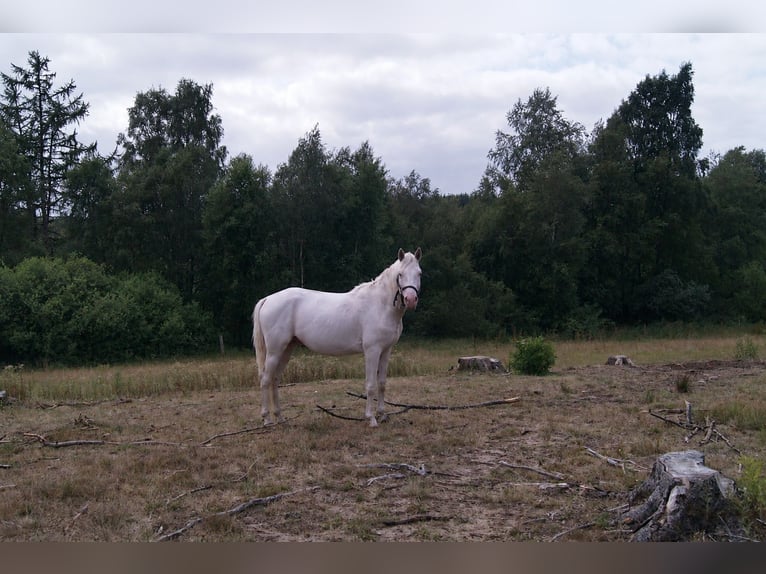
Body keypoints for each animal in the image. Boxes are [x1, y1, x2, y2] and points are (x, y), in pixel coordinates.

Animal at [252, 247, 422, 427]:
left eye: (419, 273)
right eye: (400, 274)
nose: (411, 300)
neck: (380, 305)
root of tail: (268, 299)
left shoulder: (386, 350)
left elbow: (382, 383)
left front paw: (382, 415)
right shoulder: (372, 351)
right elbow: (370, 385)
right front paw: (371, 418)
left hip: (286, 349)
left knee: (275, 379)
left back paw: (280, 417)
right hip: (274, 351)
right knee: (265, 379)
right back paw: (267, 419)